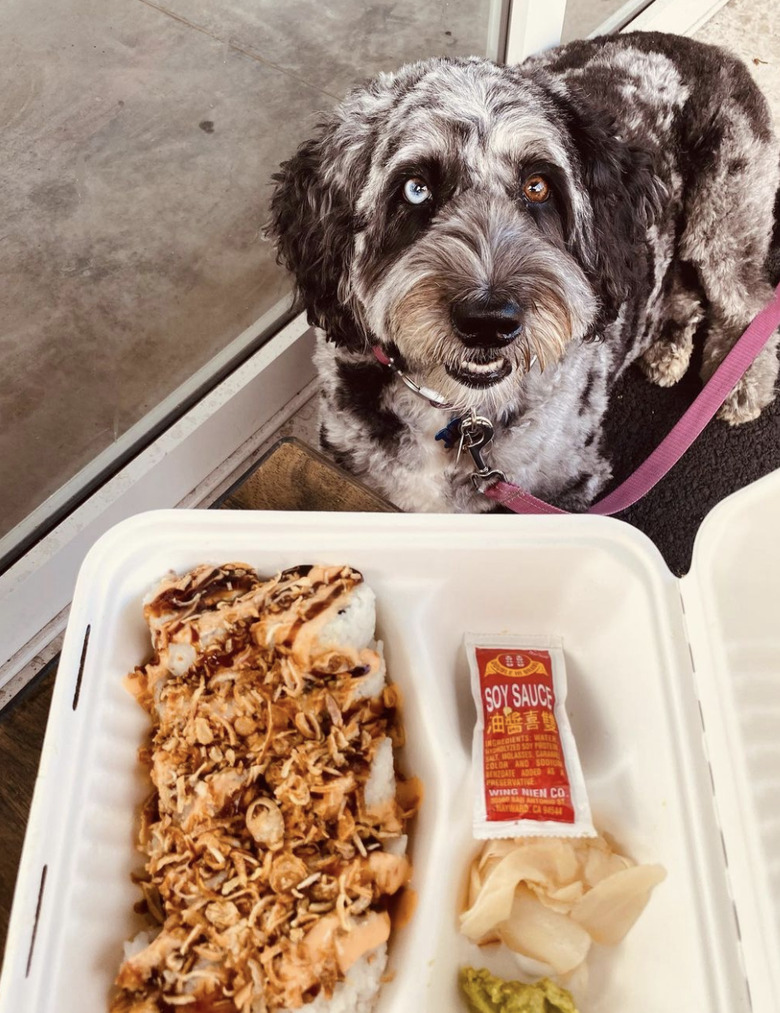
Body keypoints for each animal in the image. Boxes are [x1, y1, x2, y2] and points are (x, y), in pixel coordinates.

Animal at [263, 32, 773, 514]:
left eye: (538, 186)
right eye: (415, 189)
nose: (488, 322)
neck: (459, 411)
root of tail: (707, 49)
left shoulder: (568, 488)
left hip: (725, 223)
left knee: (751, 301)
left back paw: (740, 385)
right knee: (685, 293)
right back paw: (668, 347)